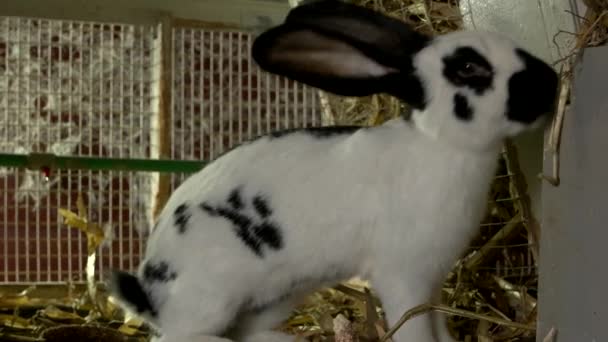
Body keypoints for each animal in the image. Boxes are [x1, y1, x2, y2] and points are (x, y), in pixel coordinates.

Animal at [108, 0, 556, 342]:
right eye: (467, 68)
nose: (550, 82)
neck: (440, 144)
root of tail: (150, 287)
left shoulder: (432, 282)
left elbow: (439, 328)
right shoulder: (403, 276)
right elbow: (416, 331)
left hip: (279, 296)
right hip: (213, 295)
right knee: (182, 337)